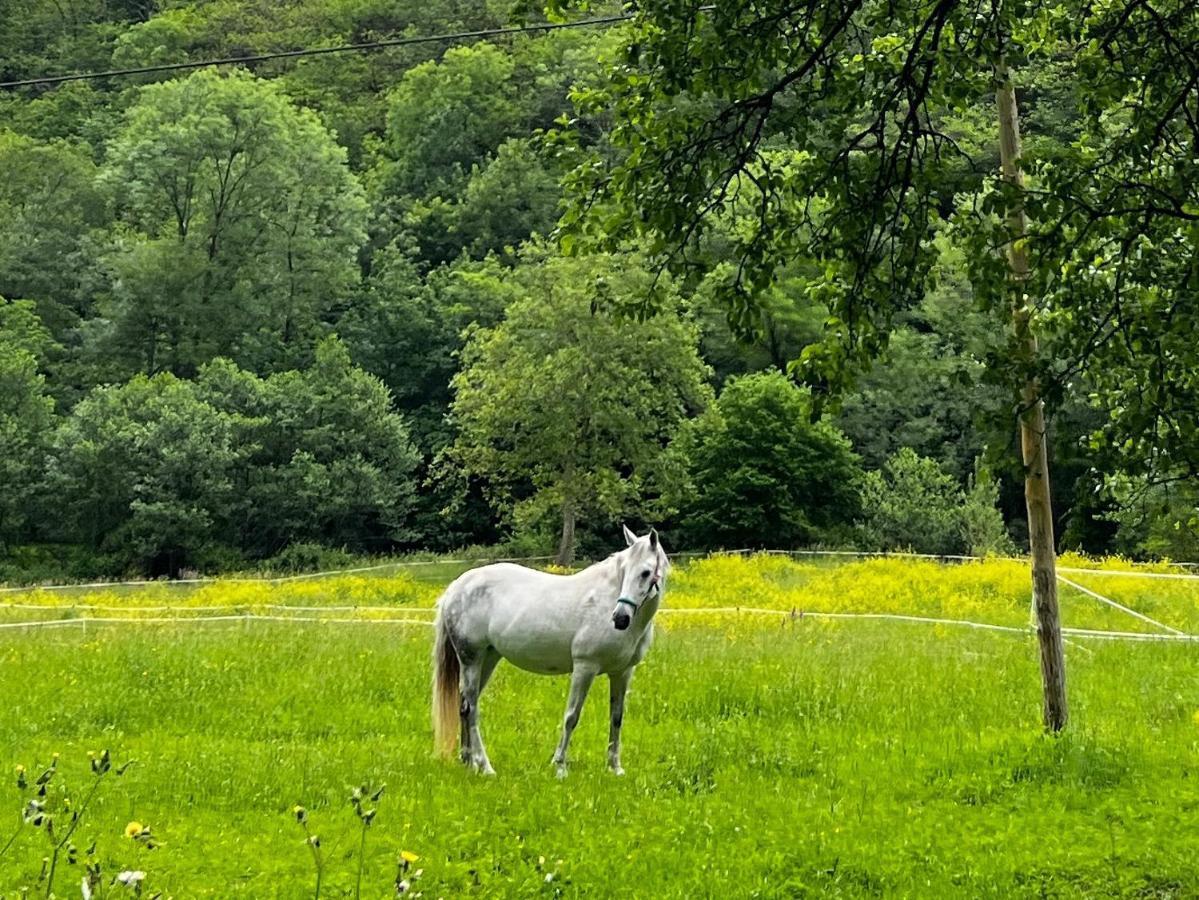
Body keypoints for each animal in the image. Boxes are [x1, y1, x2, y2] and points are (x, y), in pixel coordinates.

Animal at [434, 524, 676, 776]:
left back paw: (468, 762)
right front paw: (559, 767)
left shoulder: (622, 672)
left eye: (646, 573)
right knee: (471, 708)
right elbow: (571, 716)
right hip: (471, 658)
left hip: (488, 658)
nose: (620, 618)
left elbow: (616, 718)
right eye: (625, 569)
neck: (606, 602)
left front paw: (615, 768)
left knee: (463, 705)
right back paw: (485, 766)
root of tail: (455, 588)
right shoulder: (585, 667)